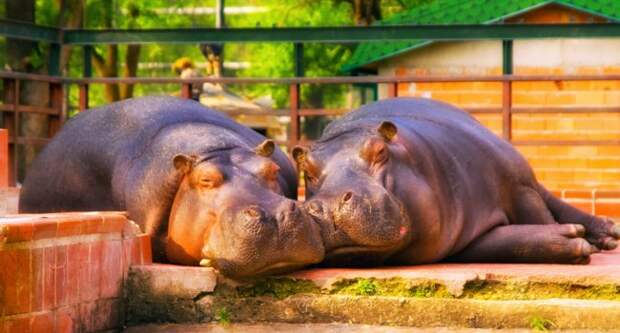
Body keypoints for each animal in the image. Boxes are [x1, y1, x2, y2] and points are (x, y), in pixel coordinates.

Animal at [296, 97, 620, 266]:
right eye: (307, 170)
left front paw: (579, 240)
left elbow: (539, 215)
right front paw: (573, 239)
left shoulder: (517, 187)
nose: (331, 205)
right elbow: (501, 242)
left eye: (379, 152)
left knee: (550, 199)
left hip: (517, 169)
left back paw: (608, 233)